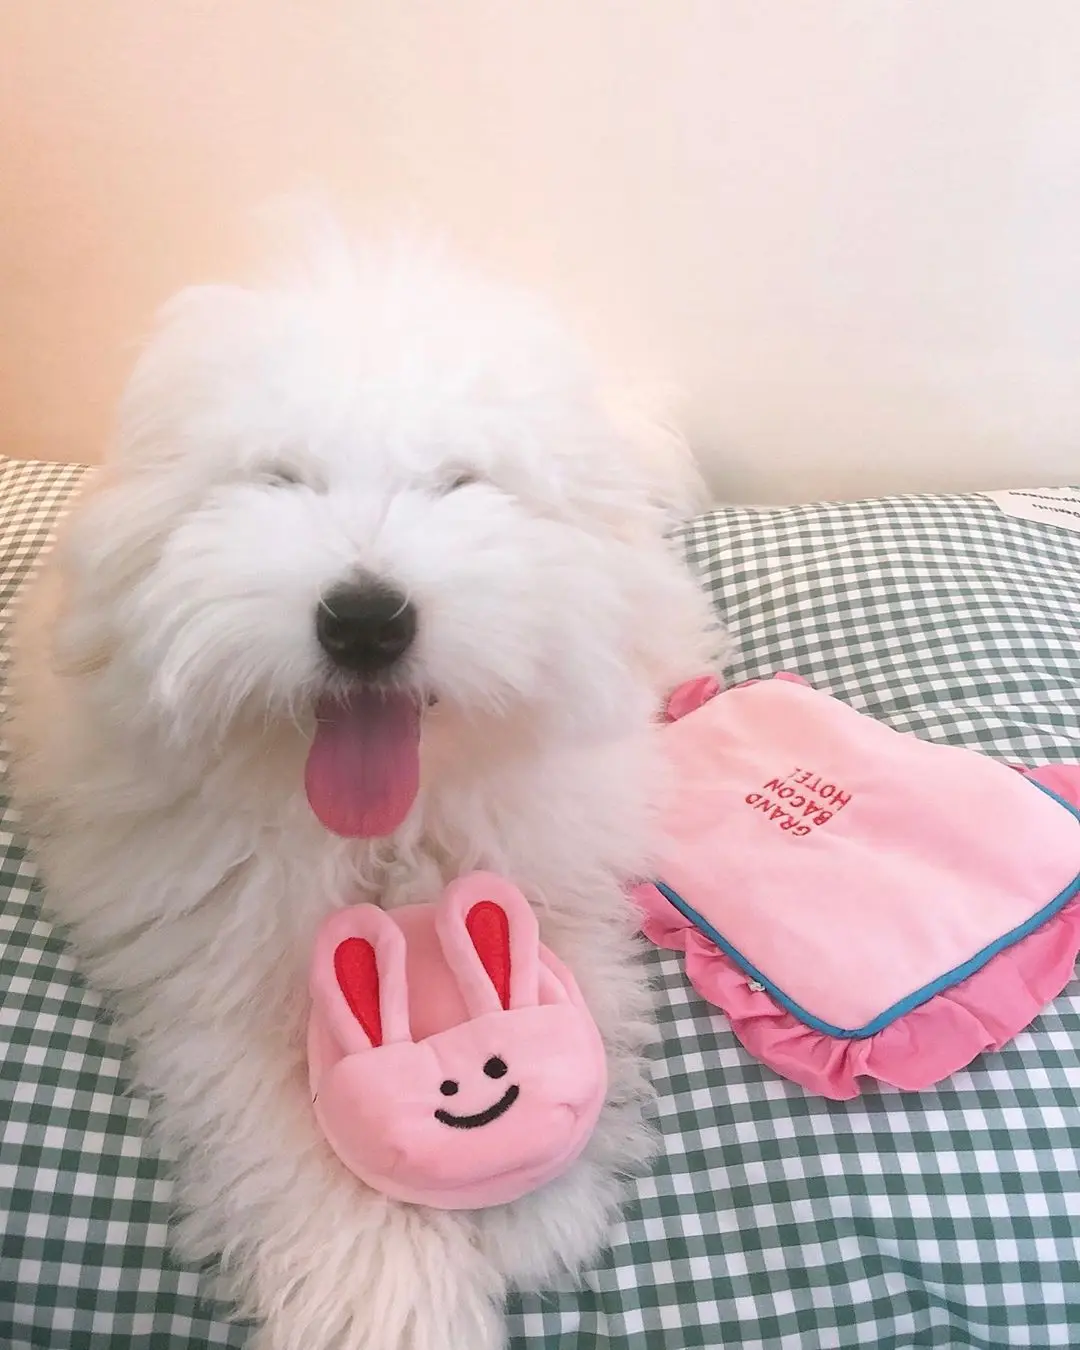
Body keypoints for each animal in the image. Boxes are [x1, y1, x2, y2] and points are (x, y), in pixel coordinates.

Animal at [8, 228, 723, 1349]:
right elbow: (282, 1142)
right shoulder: (217, 971)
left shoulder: (554, 849)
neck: (384, 833)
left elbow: (570, 974)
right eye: (279, 478)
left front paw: (536, 1198)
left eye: (462, 482)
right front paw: (394, 1297)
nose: (365, 621)